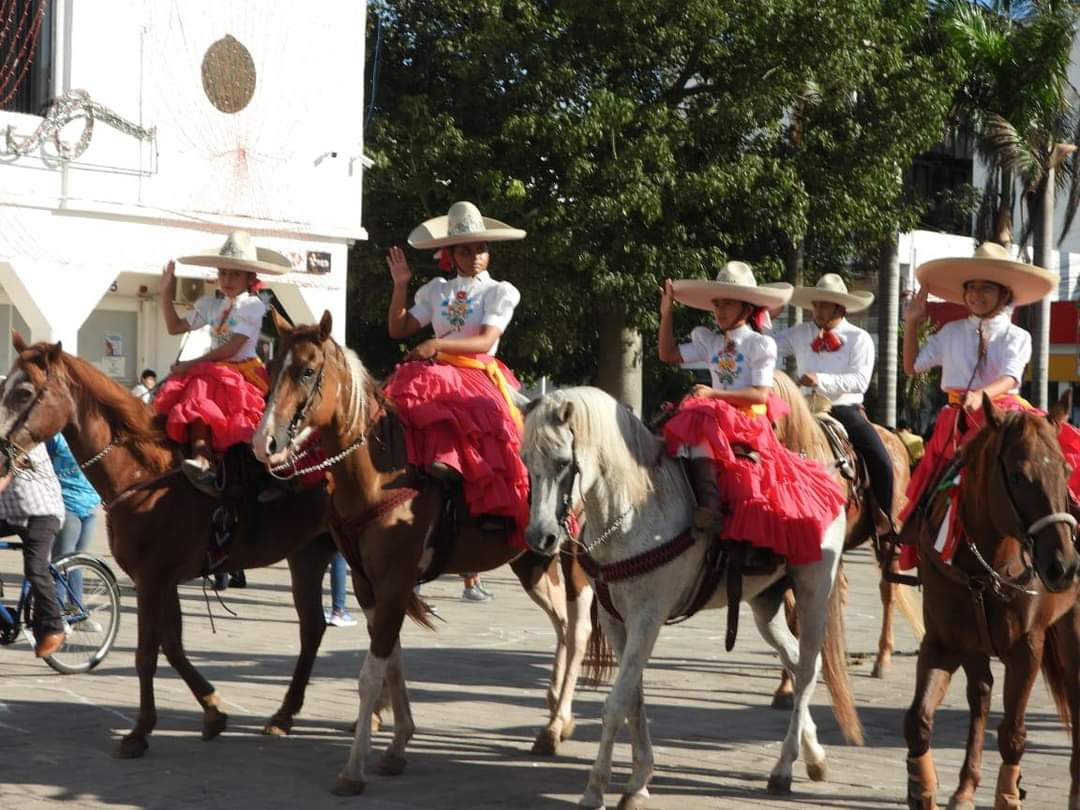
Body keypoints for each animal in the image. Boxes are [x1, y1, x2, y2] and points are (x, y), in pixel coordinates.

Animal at [0, 334, 336, 756]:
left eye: (24, 391)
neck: (148, 471)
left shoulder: (151, 579)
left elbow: (147, 653)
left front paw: (140, 731)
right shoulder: (164, 578)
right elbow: (173, 646)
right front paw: (212, 710)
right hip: (308, 554)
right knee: (313, 627)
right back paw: (285, 715)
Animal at [522, 388, 859, 810]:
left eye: (563, 462)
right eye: (525, 461)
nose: (540, 537)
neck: (637, 506)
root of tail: (827, 475)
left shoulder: (647, 619)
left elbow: (616, 704)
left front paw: (596, 789)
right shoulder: (617, 623)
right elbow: (633, 699)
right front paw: (638, 781)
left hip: (814, 592)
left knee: (809, 670)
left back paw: (783, 768)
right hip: (766, 604)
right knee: (796, 663)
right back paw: (813, 756)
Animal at [902, 399, 1080, 810]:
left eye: (1065, 470)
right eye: (1016, 476)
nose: (1063, 565)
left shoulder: (1027, 649)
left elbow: (1013, 734)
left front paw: (1009, 793)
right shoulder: (943, 643)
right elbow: (919, 721)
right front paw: (924, 788)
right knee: (981, 694)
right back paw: (965, 786)